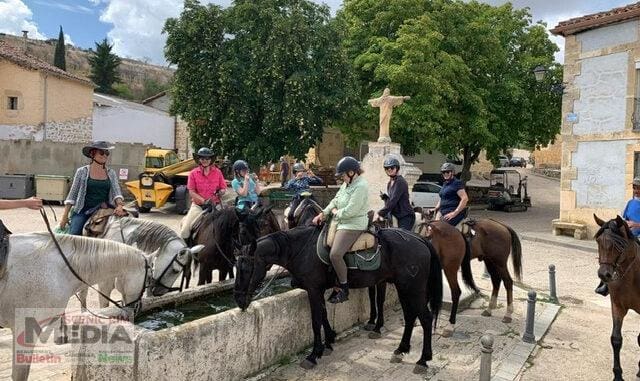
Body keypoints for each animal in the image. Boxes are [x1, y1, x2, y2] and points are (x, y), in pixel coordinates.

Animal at [232, 224, 442, 372]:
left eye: (245, 269)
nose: (239, 300)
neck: (301, 249)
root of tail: (420, 239)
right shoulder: (318, 290)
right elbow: (324, 315)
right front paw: (329, 342)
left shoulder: (313, 289)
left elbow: (316, 320)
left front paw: (313, 355)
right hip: (404, 287)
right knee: (410, 316)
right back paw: (401, 348)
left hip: (413, 288)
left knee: (425, 318)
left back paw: (423, 359)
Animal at [592, 214, 640, 380]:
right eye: (598, 241)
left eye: (619, 244)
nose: (603, 274)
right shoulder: (617, 306)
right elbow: (616, 339)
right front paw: (618, 375)